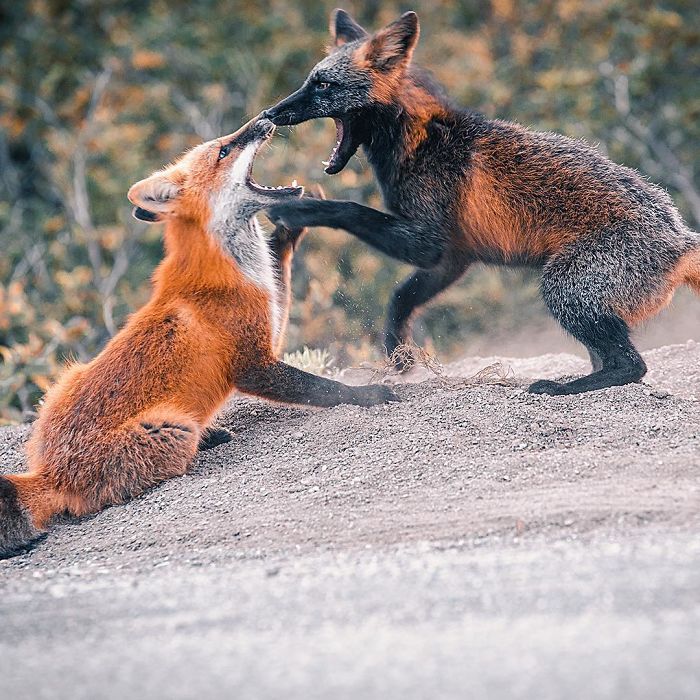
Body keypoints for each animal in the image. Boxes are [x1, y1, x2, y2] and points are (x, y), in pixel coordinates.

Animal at [0, 119, 396, 556]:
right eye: (223, 151)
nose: (264, 118)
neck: (228, 269)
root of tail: (48, 473)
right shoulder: (253, 363)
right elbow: (324, 388)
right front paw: (368, 395)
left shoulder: (269, 315)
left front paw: (290, 227)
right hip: (170, 428)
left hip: (65, 379)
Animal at [264, 9, 700, 394]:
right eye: (310, 80)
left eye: (323, 85)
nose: (269, 112)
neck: (420, 141)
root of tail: (680, 237)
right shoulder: (453, 257)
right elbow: (400, 299)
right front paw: (399, 357)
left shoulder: (427, 243)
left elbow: (350, 210)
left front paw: (297, 209)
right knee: (615, 361)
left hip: (562, 288)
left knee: (631, 366)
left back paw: (563, 387)